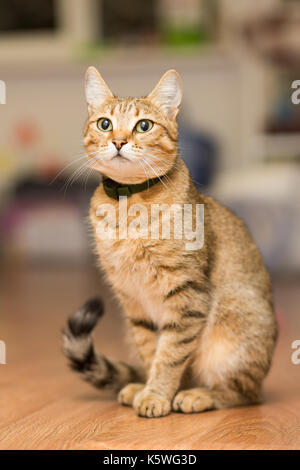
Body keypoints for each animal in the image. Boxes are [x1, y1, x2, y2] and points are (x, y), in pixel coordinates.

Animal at [62, 67, 278, 418]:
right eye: (105, 123)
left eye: (144, 125)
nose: (118, 141)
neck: (128, 208)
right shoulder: (134, 302)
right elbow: (152, 352)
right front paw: (149, 390)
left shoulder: (187, 295)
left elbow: (170, 355)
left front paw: (155, 395)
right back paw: (142, 386)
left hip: (234, 336)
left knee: (245, 393)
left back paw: (198, 395)